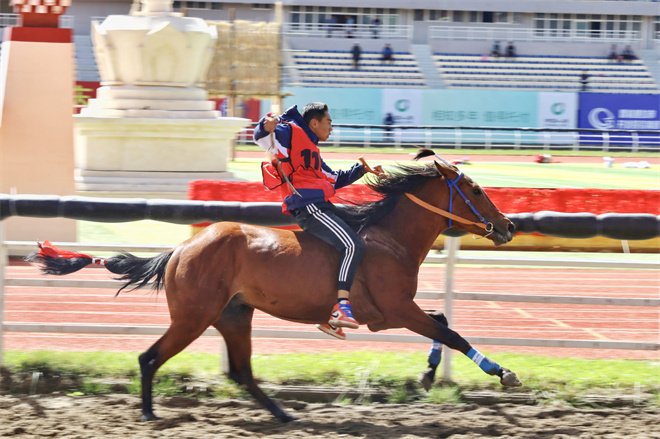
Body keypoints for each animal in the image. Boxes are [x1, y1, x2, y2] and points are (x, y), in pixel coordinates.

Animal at [28, 151, 520, 422]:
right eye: (476, 189)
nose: (508, 225)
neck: (388, 237)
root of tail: (181, 248)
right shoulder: (395, 310)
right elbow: (449, 331)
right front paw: (502, 373)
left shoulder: (394, 313)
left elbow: (443, 322)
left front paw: (429, 373)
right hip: (194, 317)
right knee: (150, 358)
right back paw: (149, 412)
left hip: (234, 314)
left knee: (241, 372)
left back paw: (283, 413)